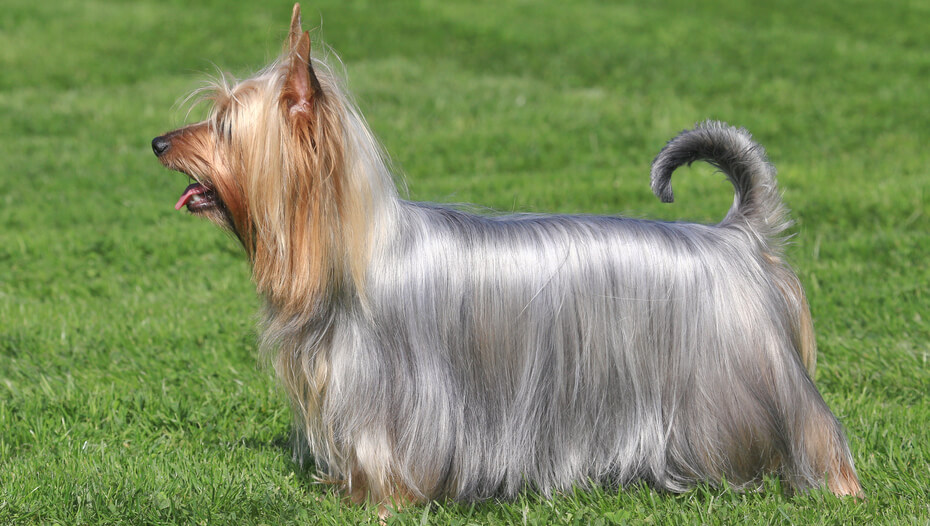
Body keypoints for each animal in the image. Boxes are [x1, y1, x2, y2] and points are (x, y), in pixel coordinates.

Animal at [150, 3, 856, 508]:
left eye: (222, 127)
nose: (158, 141)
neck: (354, 256)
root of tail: (736, 235)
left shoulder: (400, 396)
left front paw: (384, 502)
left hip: (749, 374)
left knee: (814, 428)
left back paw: (836, 486)